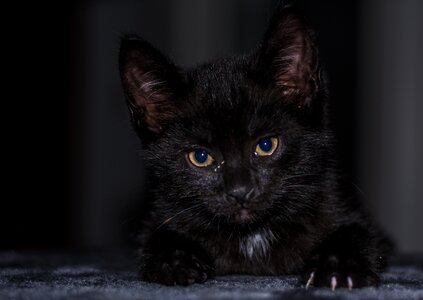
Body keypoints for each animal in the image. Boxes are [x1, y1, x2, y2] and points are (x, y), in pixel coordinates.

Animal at [118, 4, 390, 290]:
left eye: (266, 145)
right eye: (200, 157)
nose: (240, 191)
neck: (252, 235)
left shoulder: (346, 210)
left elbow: (356, 232)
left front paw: (337, 266)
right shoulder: (161, 215)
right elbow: (158, 234)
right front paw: (175, 259)